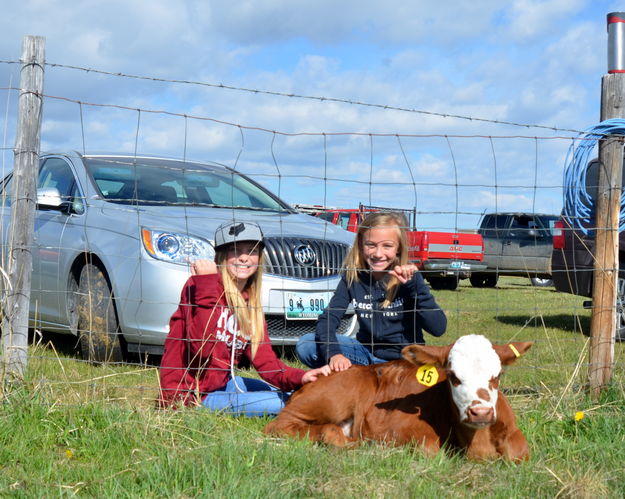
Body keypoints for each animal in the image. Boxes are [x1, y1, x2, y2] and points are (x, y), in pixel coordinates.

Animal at [264, 334, 532, 462]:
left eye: (497, 375)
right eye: (453, 376)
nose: (481, 412)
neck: (478, 444)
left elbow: (519, 452)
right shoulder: (404, 432)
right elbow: (430, 450)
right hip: (336, 395)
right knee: (280, 425)